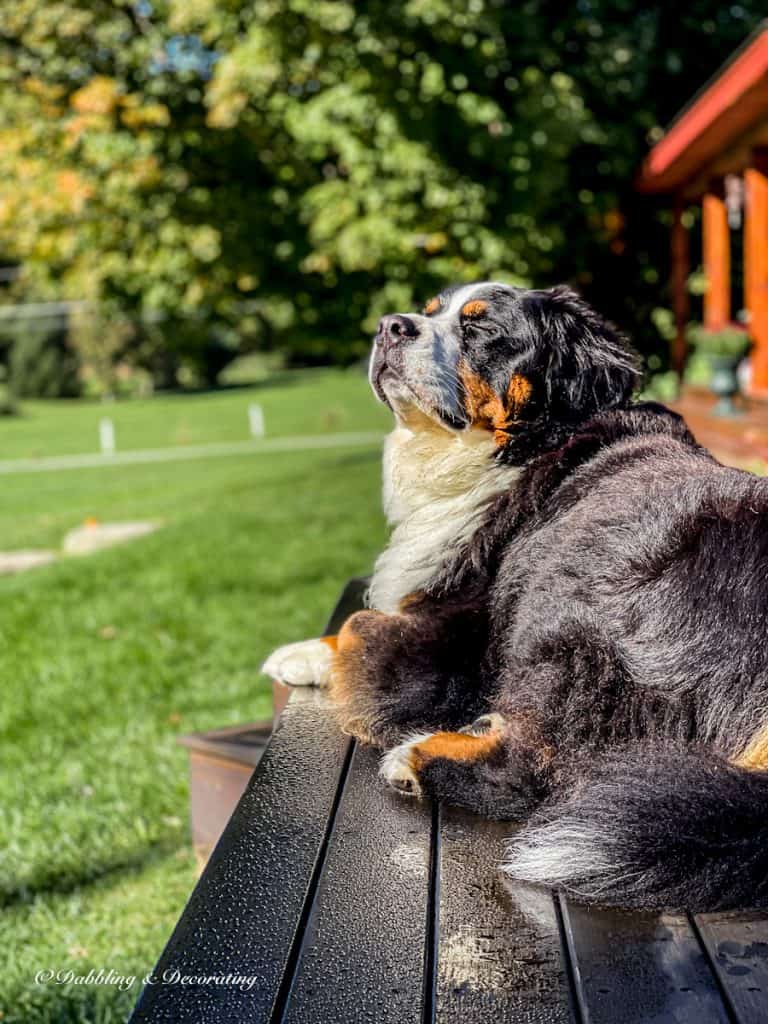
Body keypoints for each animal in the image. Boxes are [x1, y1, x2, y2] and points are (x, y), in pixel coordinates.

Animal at [264, 280, 768, 913]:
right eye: (429, 313)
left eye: (480, 329)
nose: (389, 326)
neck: (523, 449)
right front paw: (301, 652)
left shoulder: (459, 642)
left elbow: (361, 626)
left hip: (579, 593)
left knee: (535, 773)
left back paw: (416, 757)